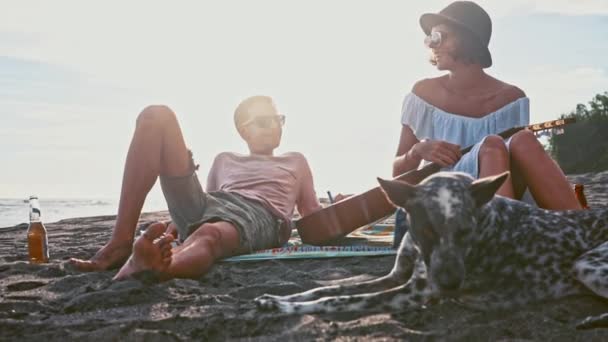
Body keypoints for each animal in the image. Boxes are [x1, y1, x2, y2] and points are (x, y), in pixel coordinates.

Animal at [254, 172, 608, 322]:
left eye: (466, 231)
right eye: (426, 229)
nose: (450, 286)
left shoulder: (413, 293)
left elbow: (335, 301)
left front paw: (285, 308)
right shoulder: (397, 277)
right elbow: (328, 289)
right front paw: (277, 300)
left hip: (585, 264)